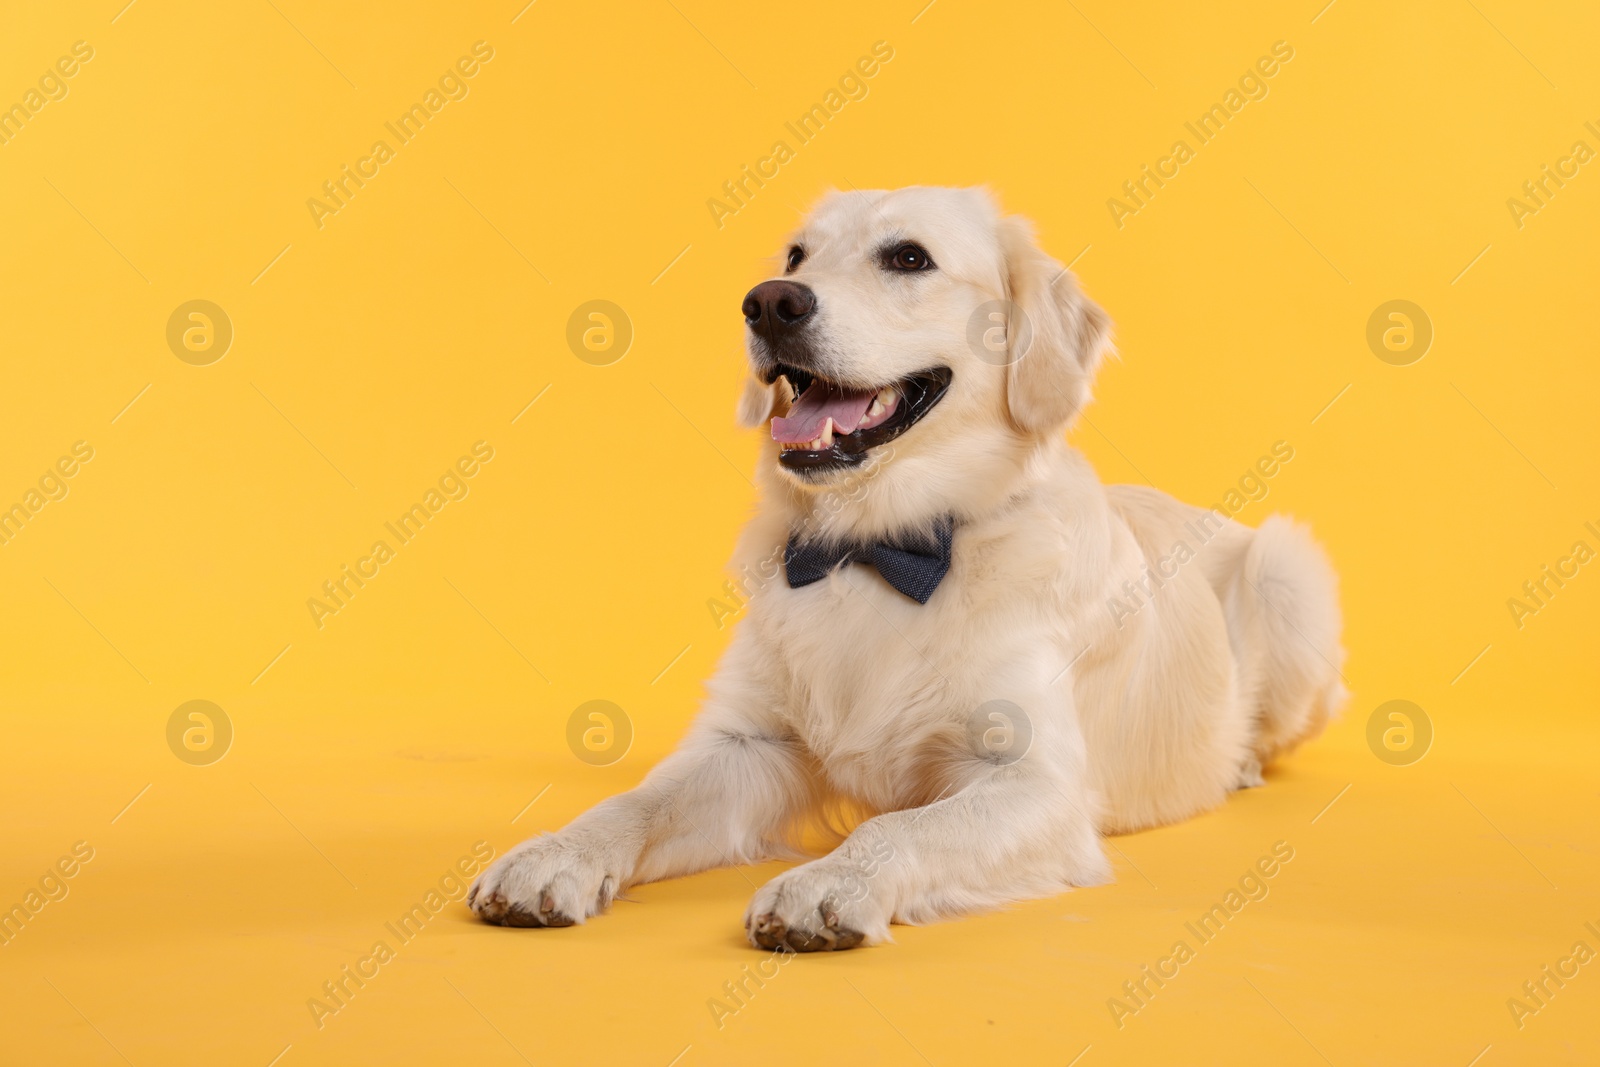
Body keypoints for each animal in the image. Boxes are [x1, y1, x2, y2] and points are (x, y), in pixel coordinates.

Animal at [467, 183, 1344, 953]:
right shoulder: (748, 743)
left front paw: (831, 881)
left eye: (909, 257)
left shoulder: (1035, 781)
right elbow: (636, 800)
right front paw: (552, 853)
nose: (769, 302)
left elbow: (904, 824)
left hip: (1287, 570)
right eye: (796, 254)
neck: (875, 546)